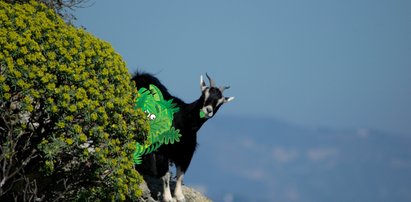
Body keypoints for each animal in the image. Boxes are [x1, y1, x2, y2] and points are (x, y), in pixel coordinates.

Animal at [133, 72, 233, 201]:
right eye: (204, 94)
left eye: (220, 102)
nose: (208, 110)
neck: (183, 122)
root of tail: (139, 76)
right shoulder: (164, 150)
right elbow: (166, 175)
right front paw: (168, 197)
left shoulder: (186, 153)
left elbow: (180, 175)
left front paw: (179, 196)